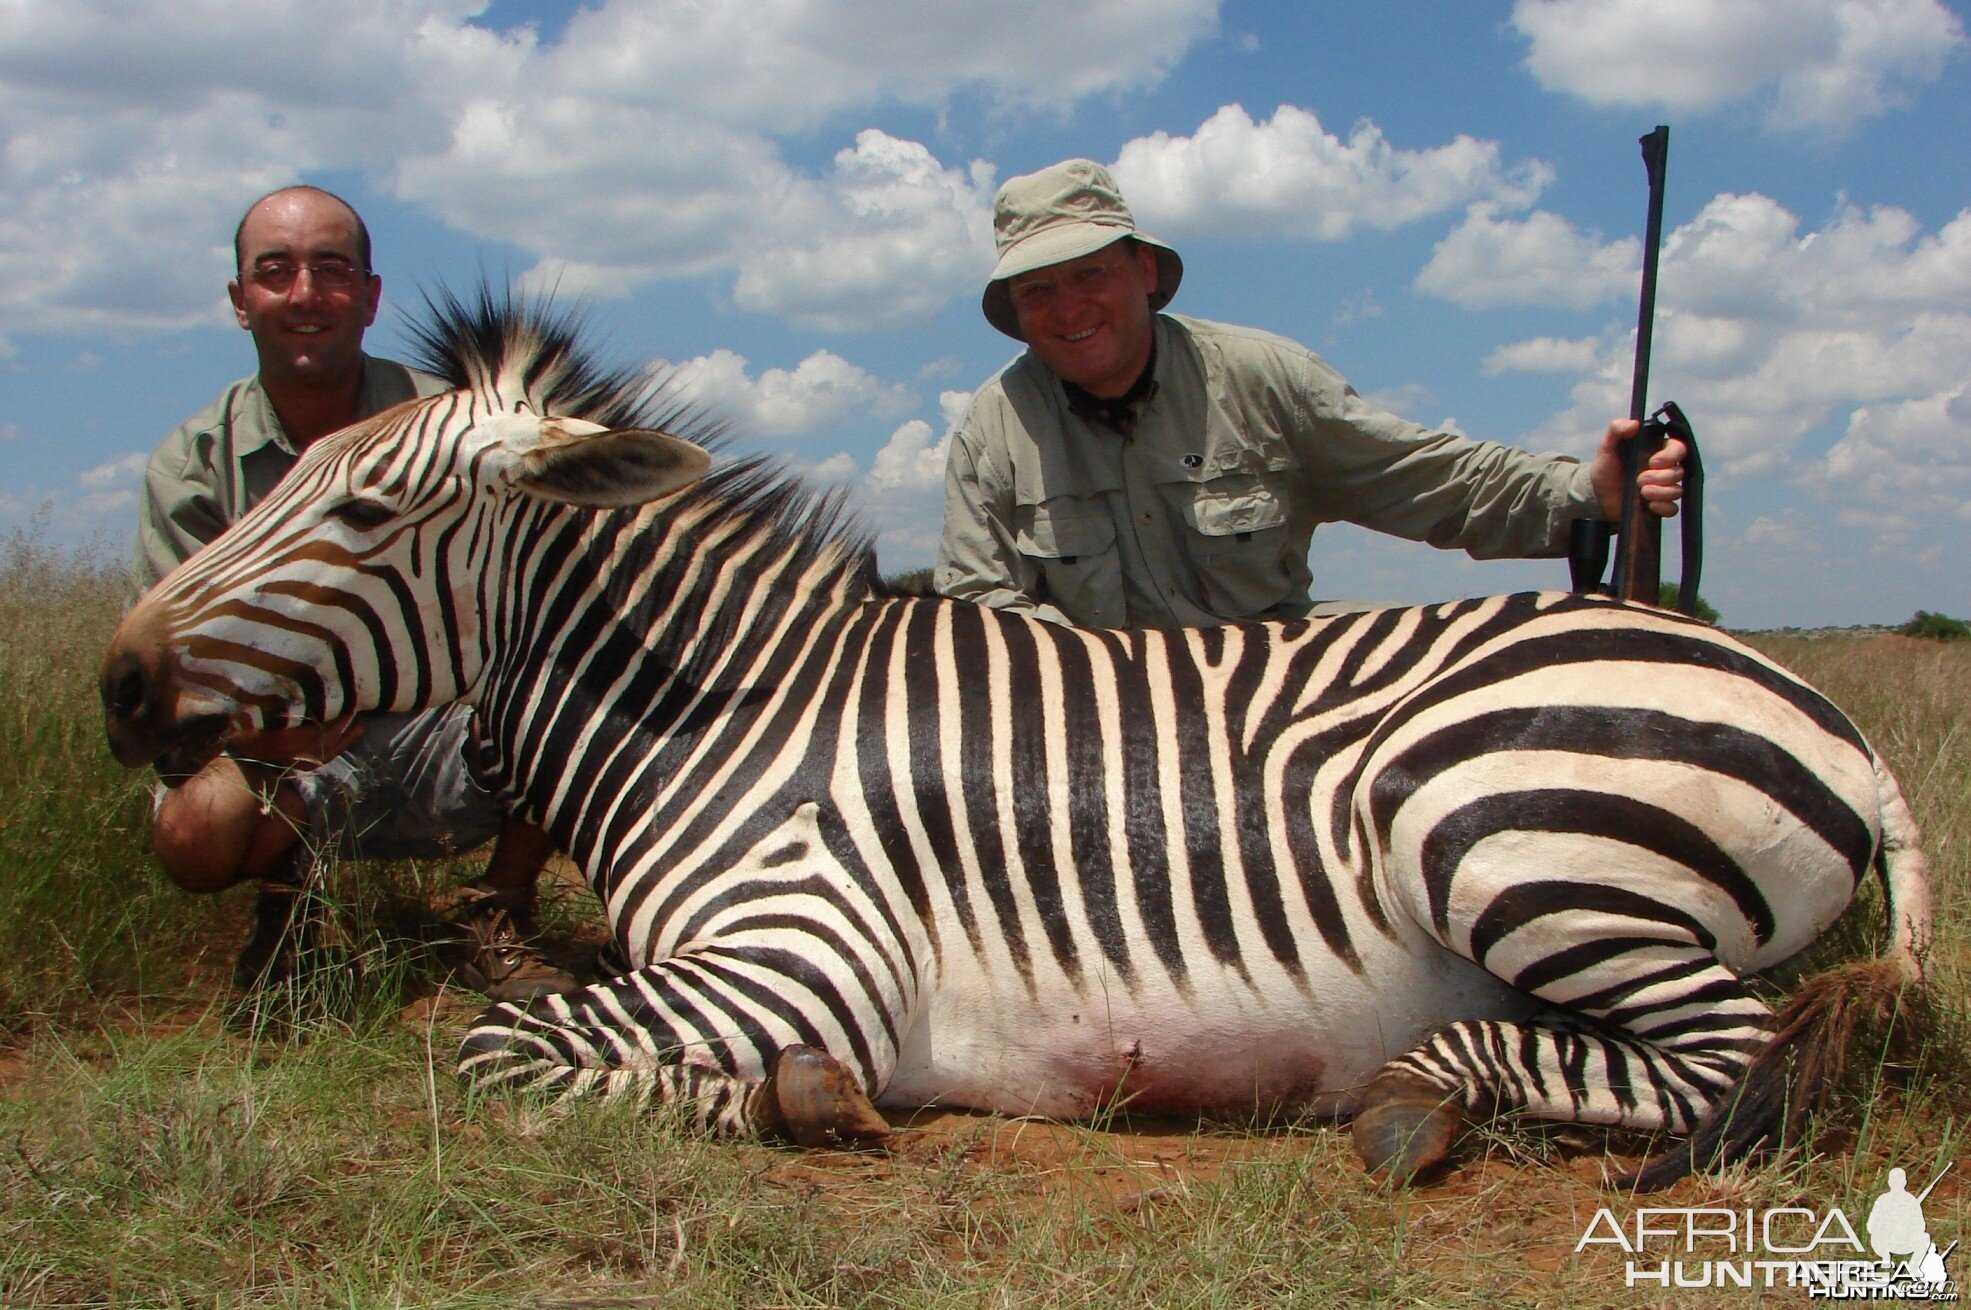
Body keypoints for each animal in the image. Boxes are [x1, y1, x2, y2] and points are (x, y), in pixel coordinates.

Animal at [100, 293, 1931, 1181]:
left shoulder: (797, 955)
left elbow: (498, 1051)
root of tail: (1823, 710)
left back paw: (1417, 1096)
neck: (725, 723)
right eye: (288, 478)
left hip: (1497, 832)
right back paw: (1425, 1093)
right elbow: (514, 1034)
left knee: (1734, 1060)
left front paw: (799, 1102)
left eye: (364, 511)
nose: (119, 684)